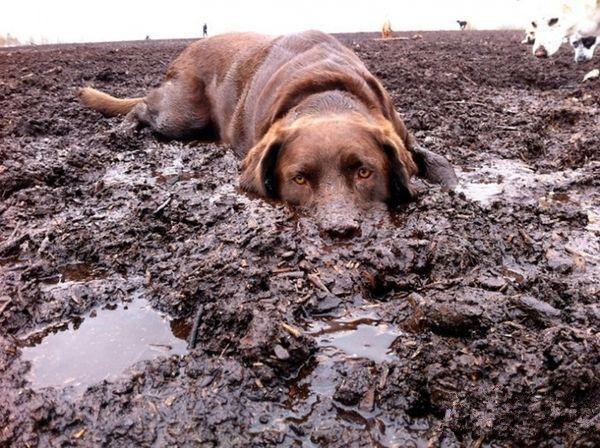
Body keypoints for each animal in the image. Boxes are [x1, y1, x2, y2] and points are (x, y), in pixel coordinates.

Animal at [78, 30, 454, 238]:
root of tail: (188, 48)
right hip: (181, 114)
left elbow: (441, 165)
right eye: (298, 179)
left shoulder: (400, 133)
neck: (326, 95)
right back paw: (123, 130)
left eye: (365, 172)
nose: (339, 231)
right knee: (143, 106)